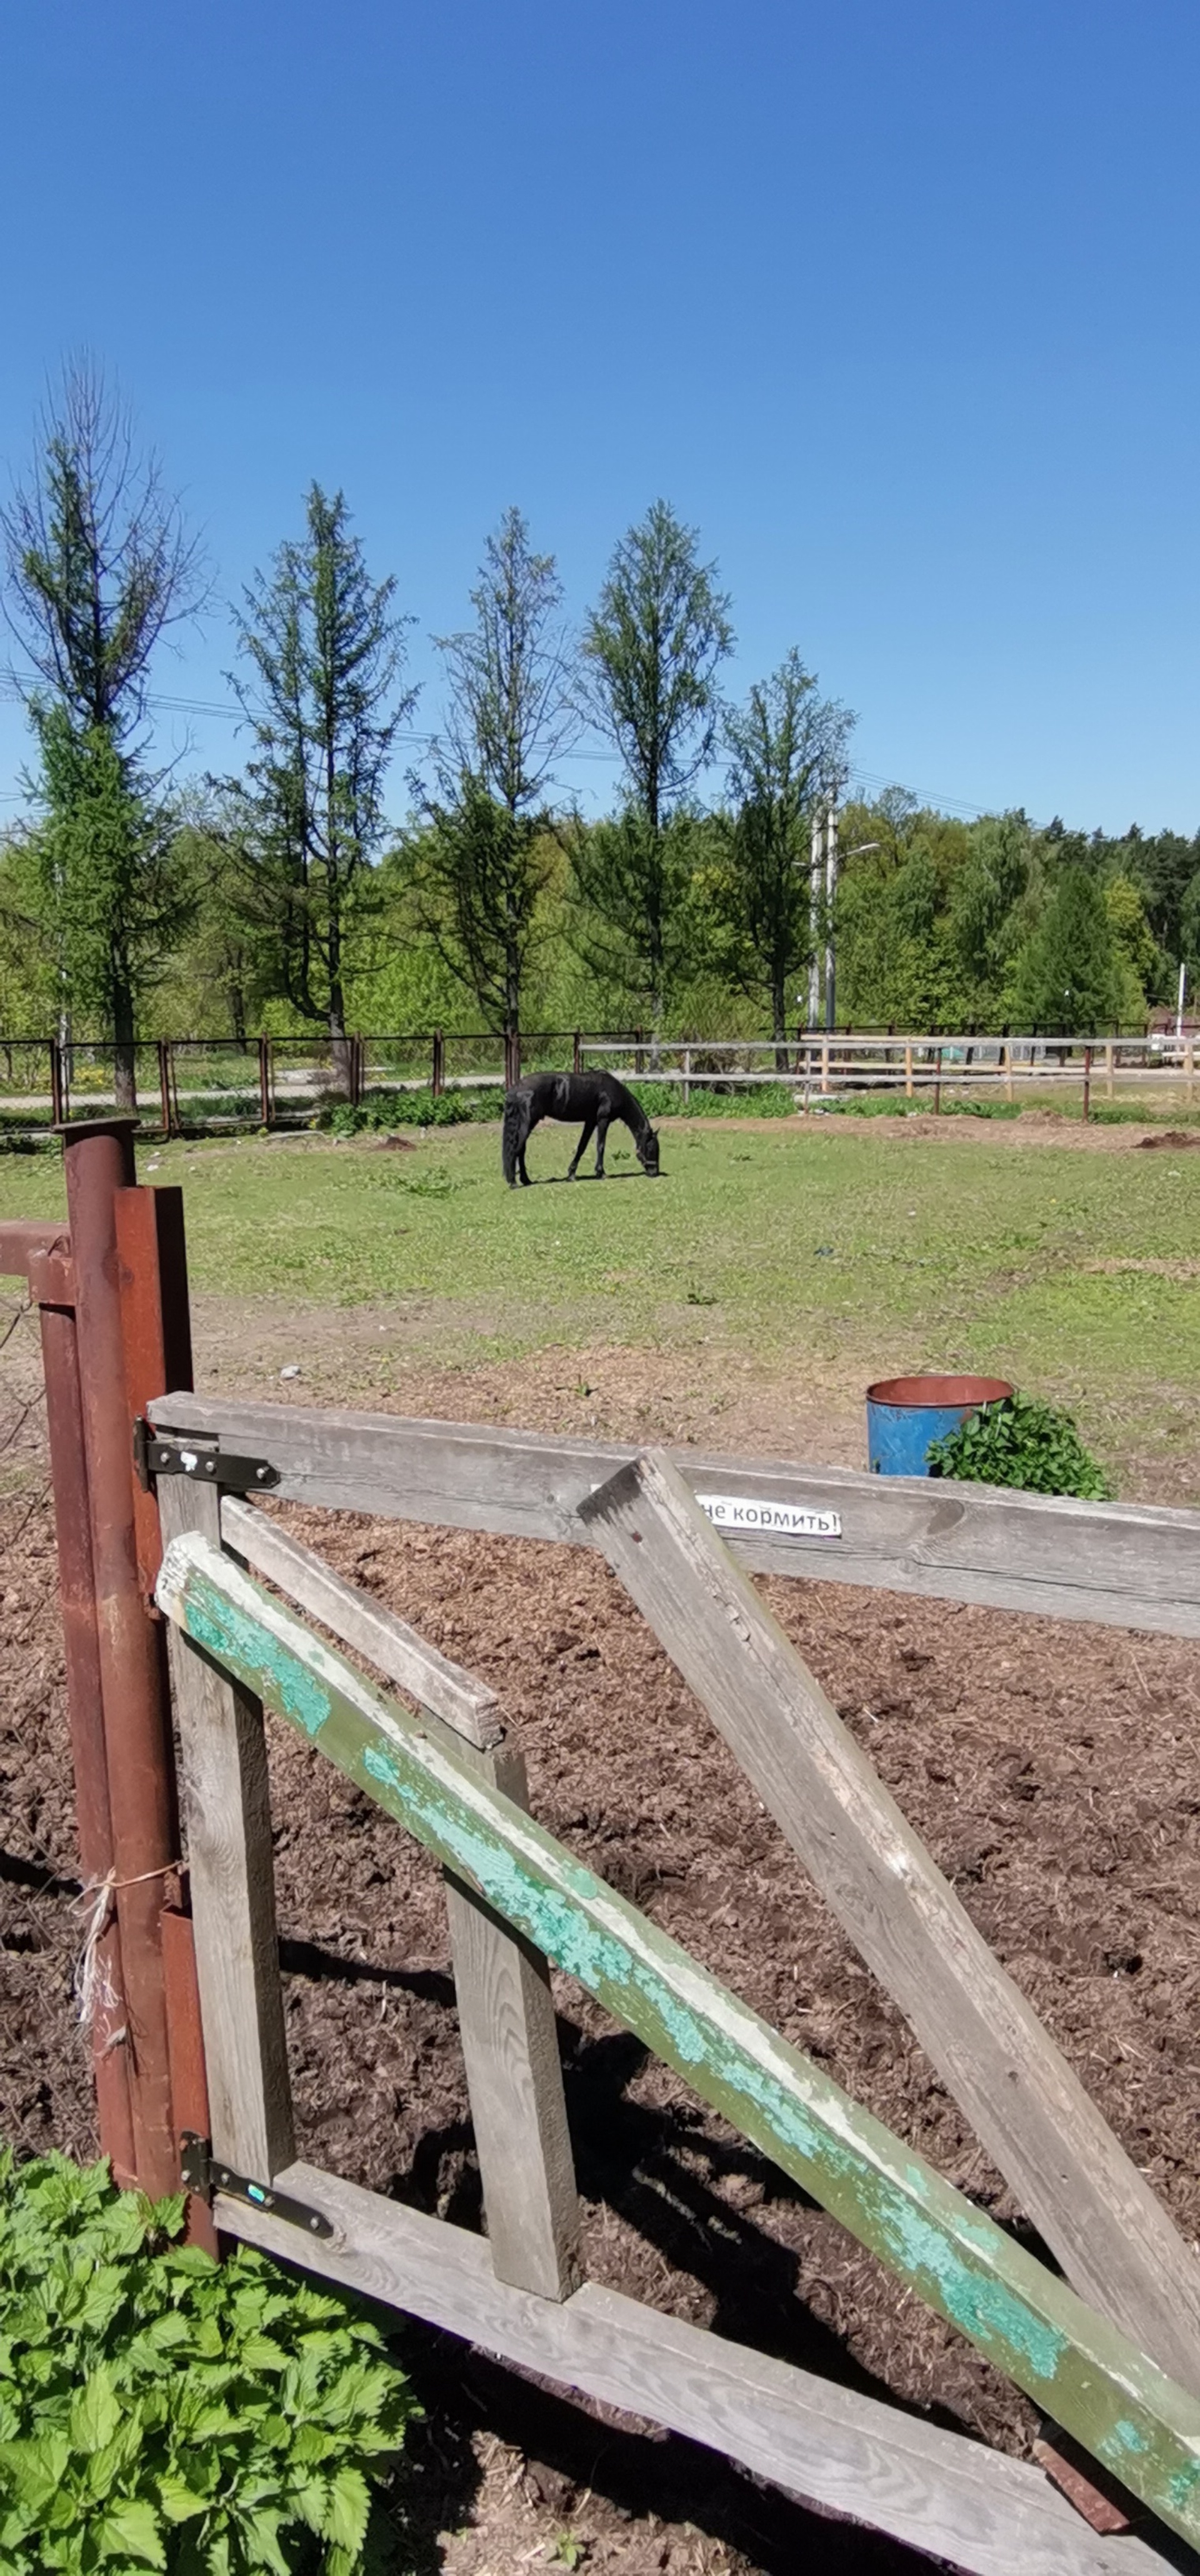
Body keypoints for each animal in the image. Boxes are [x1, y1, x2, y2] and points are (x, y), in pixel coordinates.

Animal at [502, 1066, 659, 1185]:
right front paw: (601, 1173)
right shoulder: (603, 1120)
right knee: (516, 1149)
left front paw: (571, 1174)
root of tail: (515, 1090)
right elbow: (601, 1146)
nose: (655, 1173)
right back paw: (514, 1182)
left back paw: (526, 1180)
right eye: (652, 1149)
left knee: (521, 1150)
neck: (611, 1090)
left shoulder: (590, 1121)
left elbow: (582, 1147)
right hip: (528, 1124)